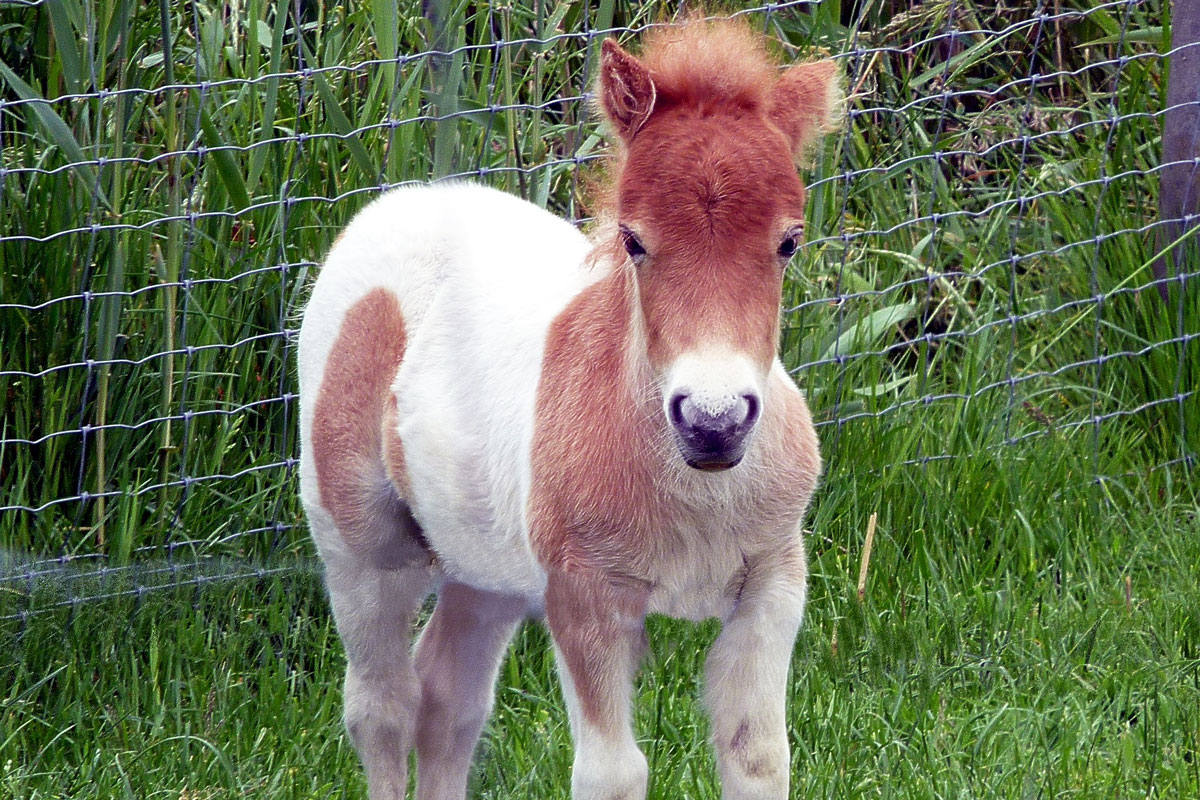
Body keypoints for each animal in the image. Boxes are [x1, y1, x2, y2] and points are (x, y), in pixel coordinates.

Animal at [300, 17, 844, 800]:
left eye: (789, 243)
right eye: (633, 240)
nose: (712, 423)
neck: (694, 493)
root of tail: (409, 200)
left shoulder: (774, 579)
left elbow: (758, 756)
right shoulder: (584, 594)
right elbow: (612, 772)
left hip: (483, 564)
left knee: (449, 698)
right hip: (361, 544)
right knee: (383, 707)